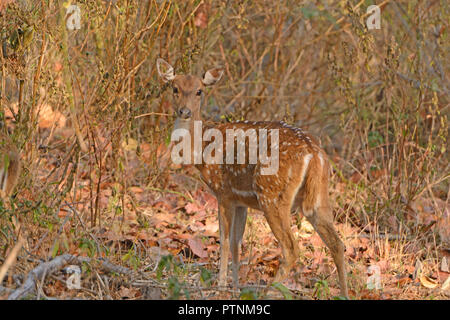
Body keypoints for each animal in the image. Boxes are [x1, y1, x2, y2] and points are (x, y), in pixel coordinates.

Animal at [156, 58, 350, 298]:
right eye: (175, 88)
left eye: (199, 91)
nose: (185, 111)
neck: (202, 149)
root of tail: (314, 154)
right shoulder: (241, 201)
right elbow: (237, 243)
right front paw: (236, 287)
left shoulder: (224, 192)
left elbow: (225, 242)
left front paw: (221, 287)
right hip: (318, 197)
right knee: (337, 243)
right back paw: (344, 293)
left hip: (272, 195)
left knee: (292, 248)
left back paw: (267, 291)